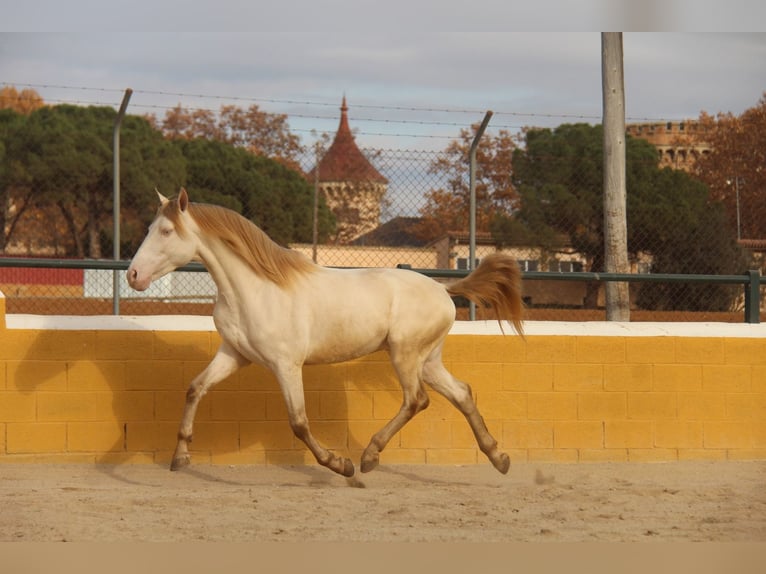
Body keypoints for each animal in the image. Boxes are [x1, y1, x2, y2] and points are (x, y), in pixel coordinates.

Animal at [130, 189, 528, 476]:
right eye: (149, 229)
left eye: (166, 231)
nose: (133, 275)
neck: (256, 288)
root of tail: (444, 291)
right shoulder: (234, 354)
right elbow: (195, 388)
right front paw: (179, 458)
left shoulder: (286, 364)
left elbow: (299, 422)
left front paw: (340, 465)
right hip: (427, 360)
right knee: (461, 393)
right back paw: (499, 458)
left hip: (405, 354)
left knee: (416, 400)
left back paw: (368, 457)